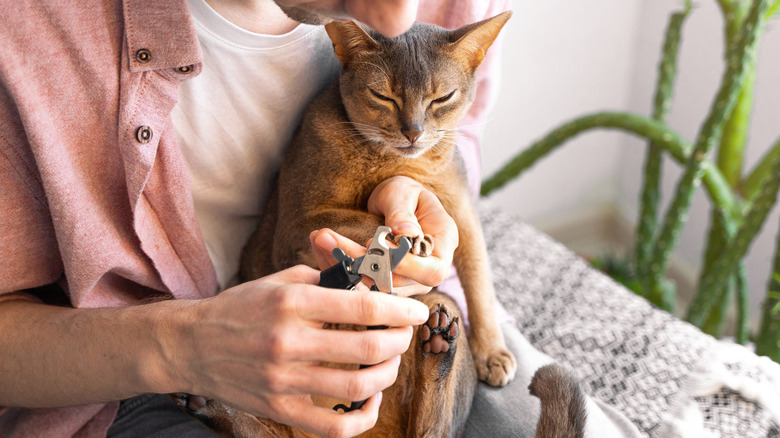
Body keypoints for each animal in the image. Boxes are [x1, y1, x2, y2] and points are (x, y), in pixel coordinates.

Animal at [177, 11, 588, 438]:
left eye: (442, 98)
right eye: (383, 96)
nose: (413, 131)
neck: (396, 162)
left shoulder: (462, 212)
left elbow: (479, 278)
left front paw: (491, 351)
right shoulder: (296, 224)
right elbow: (367, 218)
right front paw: (411, 235)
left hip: (437, 302)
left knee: (431, 427)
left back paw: (438, 346)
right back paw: (207, 402)